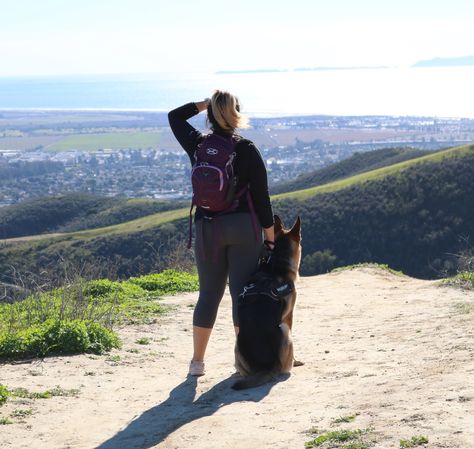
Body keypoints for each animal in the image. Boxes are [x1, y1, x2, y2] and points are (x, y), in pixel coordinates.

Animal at [231, 214, 302, 388]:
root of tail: (265, 367)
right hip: (284, 330)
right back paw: (291, 364)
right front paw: (297, 360)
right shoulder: (289, 316)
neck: (276, 263)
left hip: (236, 344)